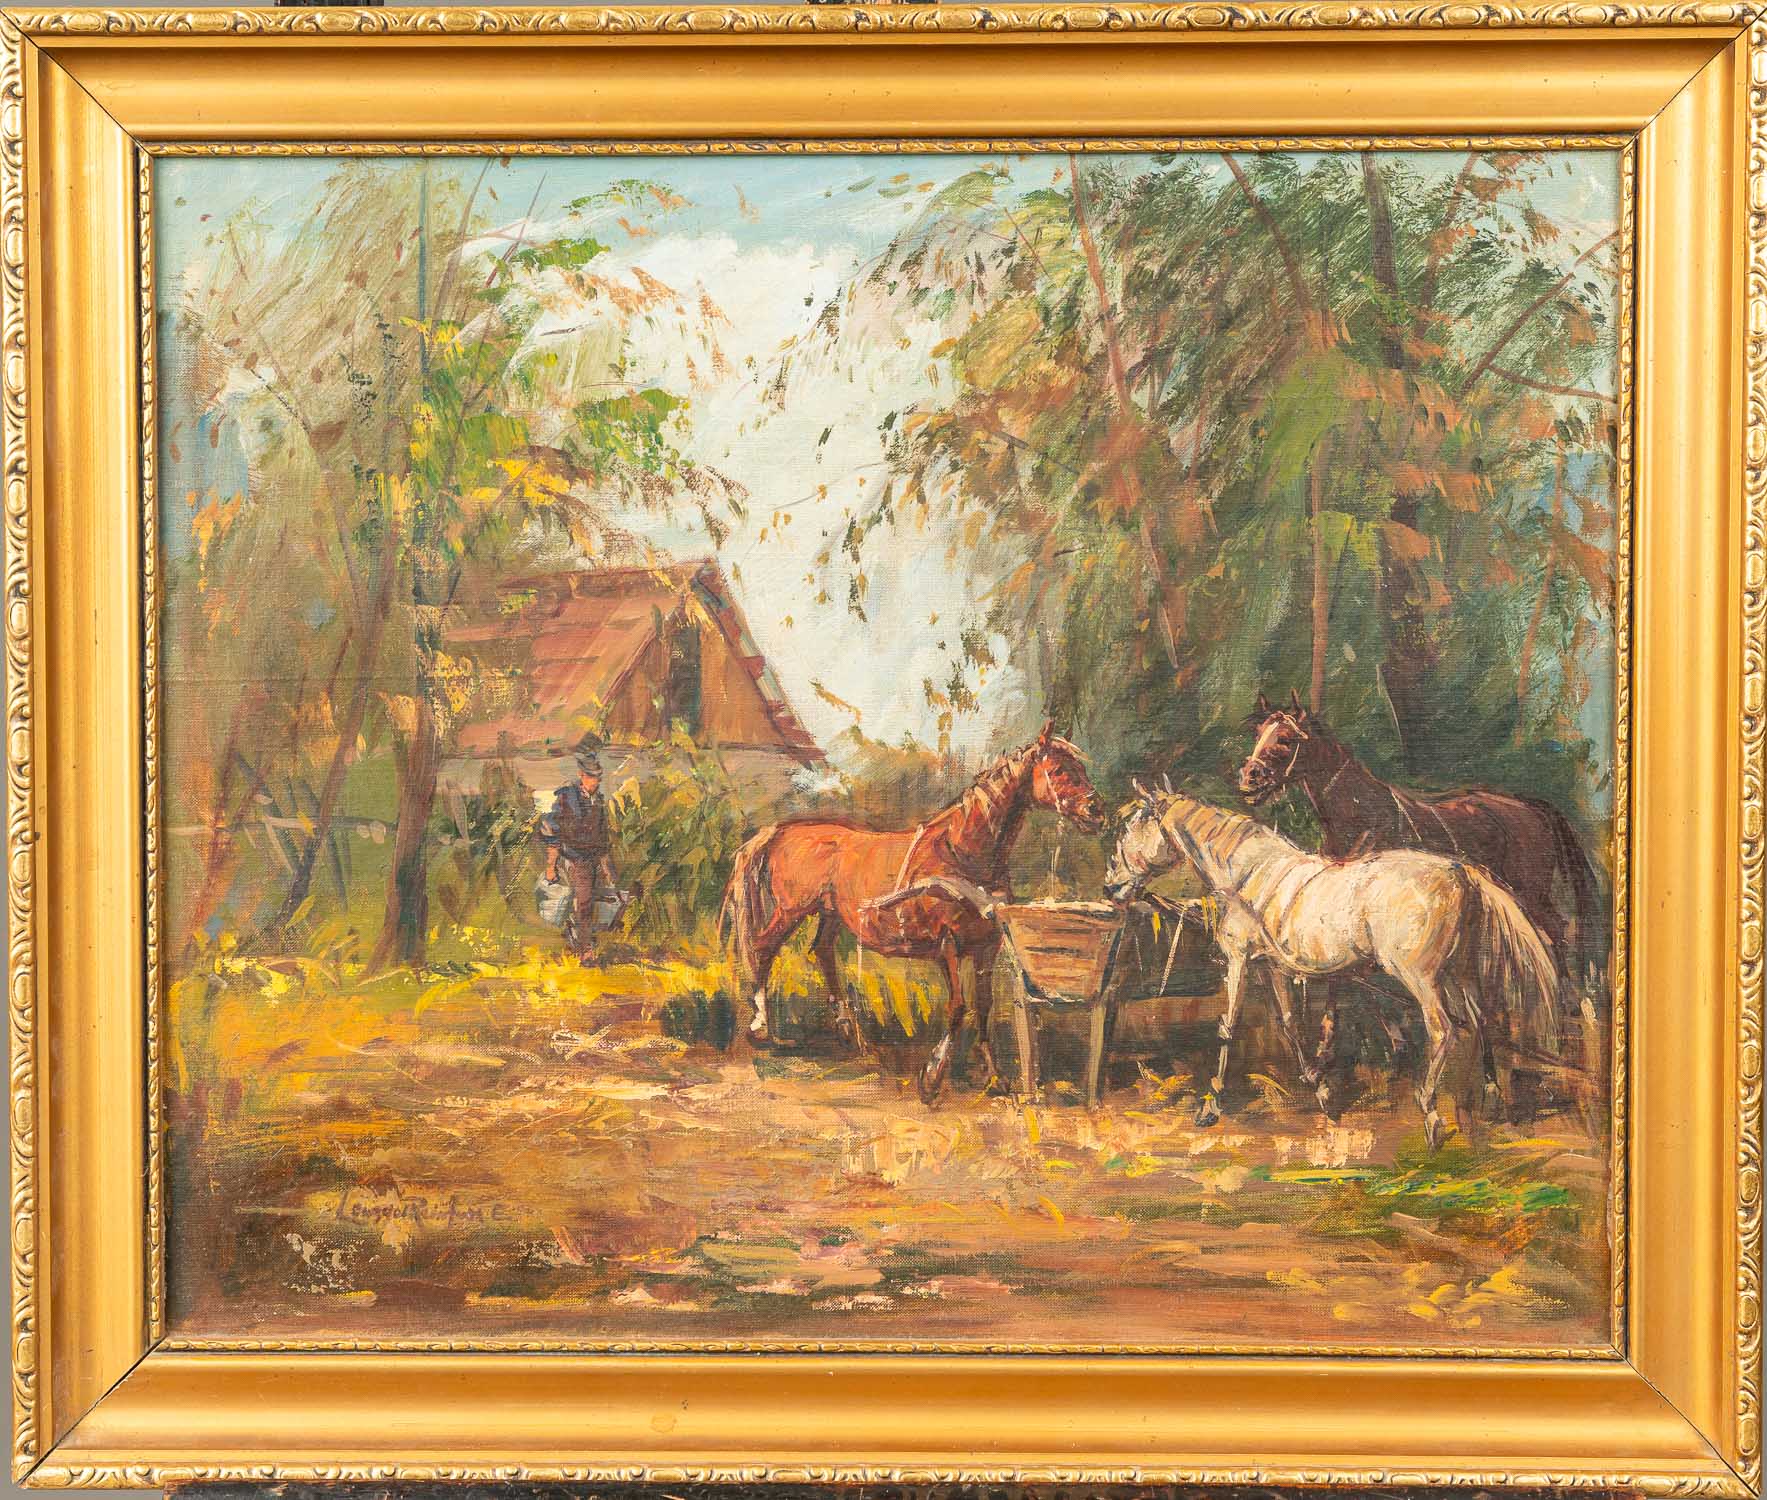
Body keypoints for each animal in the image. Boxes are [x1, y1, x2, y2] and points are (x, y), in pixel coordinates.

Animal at [721, 723, 1105, 1104]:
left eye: (1080, 767)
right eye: (1059, 770)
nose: (1096, 810)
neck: (960, 854)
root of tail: (782, 830)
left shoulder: (987, 947)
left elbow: (983, 1008)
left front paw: (994, 1077)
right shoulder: (948, 945)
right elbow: (957, 1008)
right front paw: (932, 1077)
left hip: (830, 914)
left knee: (822, 951)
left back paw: (849, 1033)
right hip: (791, 910)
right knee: (763, 949)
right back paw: (761, 1029)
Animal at [1102, 784, 1561, 1151]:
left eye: (1128, 833)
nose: (1112, 888)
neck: (1249, 877)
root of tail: (1459, 869)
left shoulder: (1239, 960)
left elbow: (1227, 1028)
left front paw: (1210, 1106)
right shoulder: (1273, 968)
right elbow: (1289, 1024)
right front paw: (1322, 1093)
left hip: (1421, 977)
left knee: (1444, 1029)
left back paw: (1430, 1113)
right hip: (1459, 971)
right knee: (1482, 1020)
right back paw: (1493, 1100)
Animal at [1237, 691, 1603, 981]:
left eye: (1286, 739)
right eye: (1258, 733)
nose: (1249, 777)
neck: (1361, 816)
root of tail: (1529, 806)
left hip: (1532, 891)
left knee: (1555, 929)